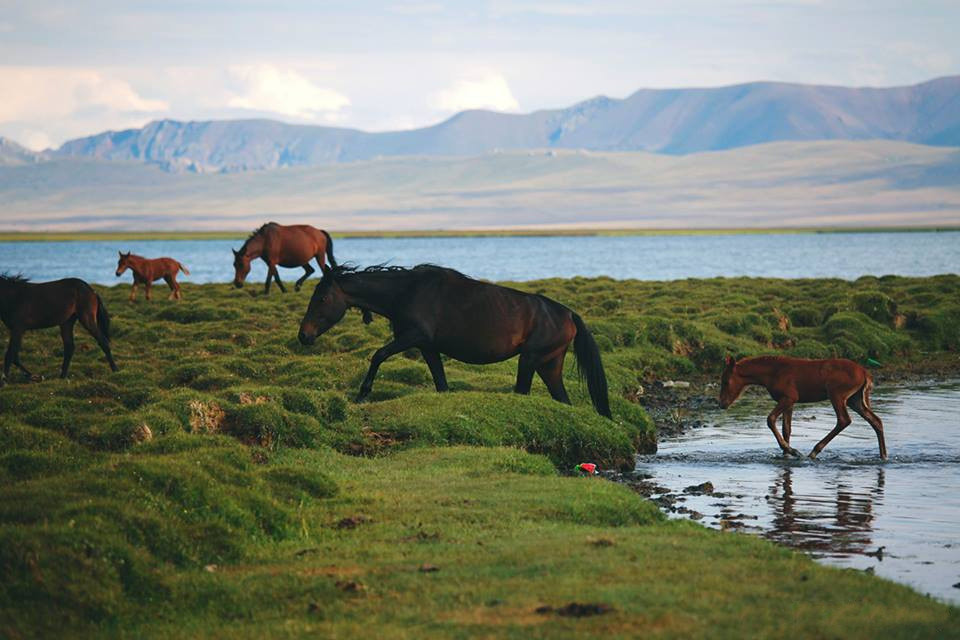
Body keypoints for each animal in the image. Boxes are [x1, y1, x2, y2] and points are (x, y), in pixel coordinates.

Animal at [296, 262, 612, 418]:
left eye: (322, 298)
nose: (304, 335)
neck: (406, 291)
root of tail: (568, 314)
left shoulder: (414, 336)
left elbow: (378, 355)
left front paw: (363, 394)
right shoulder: (427, 347)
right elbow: (441, 383)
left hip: (530, 360)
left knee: (524, 391)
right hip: (549, 365)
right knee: (562, 400)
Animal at [716, 358, 888, 458]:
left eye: (725, 381)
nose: (722, 403)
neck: (770, 374)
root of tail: (866, 373)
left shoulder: (789, 397)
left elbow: (770, 419)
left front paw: (792, 450)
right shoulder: (790, 401)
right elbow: (786, 428)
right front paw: (786, 453)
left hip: (837, 394)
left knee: (844, 420)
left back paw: (814, 451)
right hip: (855, 398)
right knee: (876, 420)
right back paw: (883, 455)